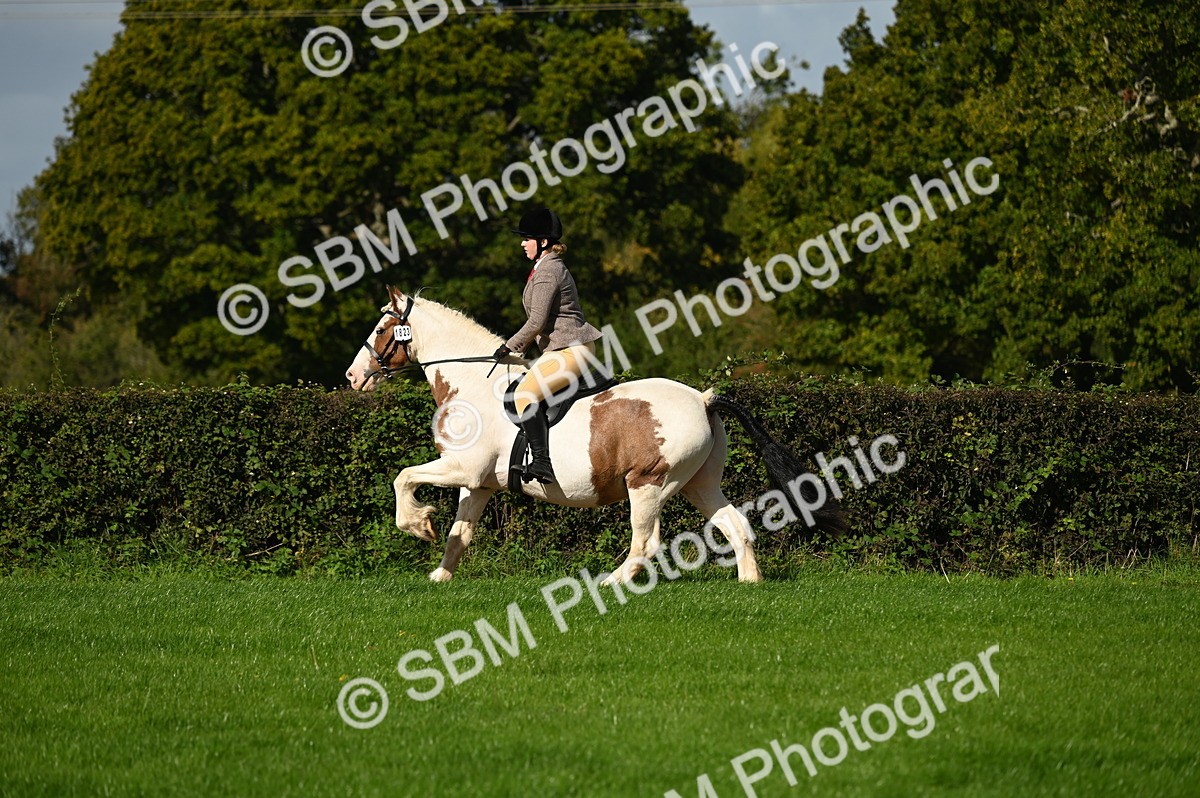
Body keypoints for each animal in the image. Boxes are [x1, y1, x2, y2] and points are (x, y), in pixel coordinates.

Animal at [344, 286, 846, 584]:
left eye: (382, 328)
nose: (351, 376)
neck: (473, 387)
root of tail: (703, 398)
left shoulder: (460, 468)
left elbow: (403, 477)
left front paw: (418, 524)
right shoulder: (478, 482)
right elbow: (459, 533)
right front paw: (439, 576)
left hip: (648, 484)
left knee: (647, 542)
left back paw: (612, 581)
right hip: (699, 483)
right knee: (735, 524)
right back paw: (749, 583)